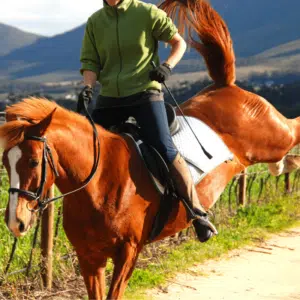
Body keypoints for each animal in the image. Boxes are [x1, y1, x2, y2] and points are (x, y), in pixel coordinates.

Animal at [0, 0, 298, 300]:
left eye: (34, 162)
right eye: (5, 163)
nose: (15, 222)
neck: (100, 181)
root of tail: (224, 86)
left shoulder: (128, 252)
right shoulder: (89, 257)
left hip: (274, 135)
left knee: (293, 128)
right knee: (280, 156)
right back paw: (285, 166)